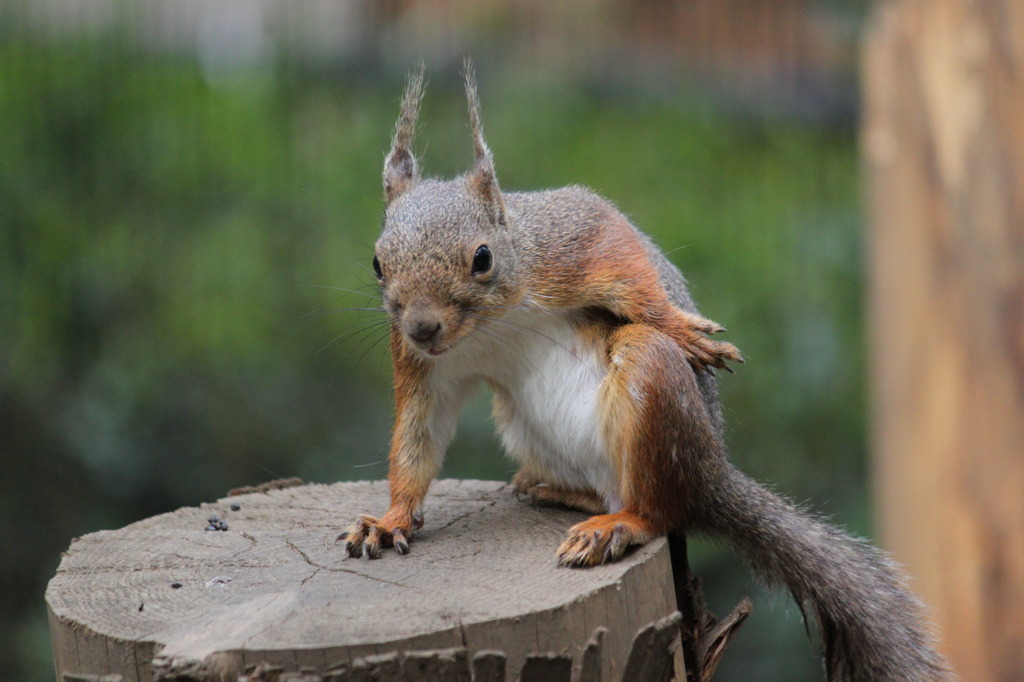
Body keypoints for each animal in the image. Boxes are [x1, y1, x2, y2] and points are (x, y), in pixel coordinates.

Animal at [337, 65, 950, 679]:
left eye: (482, 258)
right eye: (377, 263)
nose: (422, 327)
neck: (491, 323)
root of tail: (710, 476)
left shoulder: (572, 242)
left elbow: (626, 265)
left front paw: (681, 327)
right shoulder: (425, 369)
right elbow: (419, 437)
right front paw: (389, 520)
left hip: (652, 393)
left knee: (657, 509)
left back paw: (618, 525)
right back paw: (552, 490)